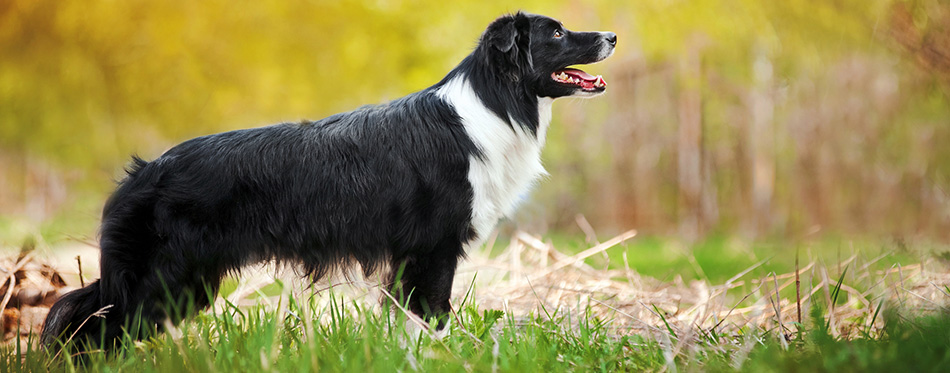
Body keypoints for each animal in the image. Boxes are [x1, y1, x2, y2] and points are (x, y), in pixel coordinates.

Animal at [42, 12, 616, 348]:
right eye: (557, 32)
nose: (612, 35)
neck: (495, 102)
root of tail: (144, 172)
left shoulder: (414, 255)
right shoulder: (433, 247)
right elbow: (433, 313)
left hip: (183, 282)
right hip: (163, 279)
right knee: (93, 326)